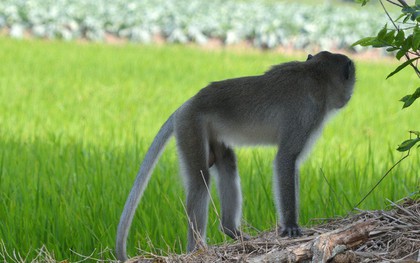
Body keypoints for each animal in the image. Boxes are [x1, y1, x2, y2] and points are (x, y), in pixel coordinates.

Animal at [116, 51, 356, 262]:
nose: (348, 98)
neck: (315, 74)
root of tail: (187, 104)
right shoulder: (306, 115)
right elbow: (286, 159)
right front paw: (290, 226)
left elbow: (291, 165)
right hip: (191, 125)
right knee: (200, 180)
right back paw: (196, 250)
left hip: (211, 131)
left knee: (227, 164)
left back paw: (231, 230)